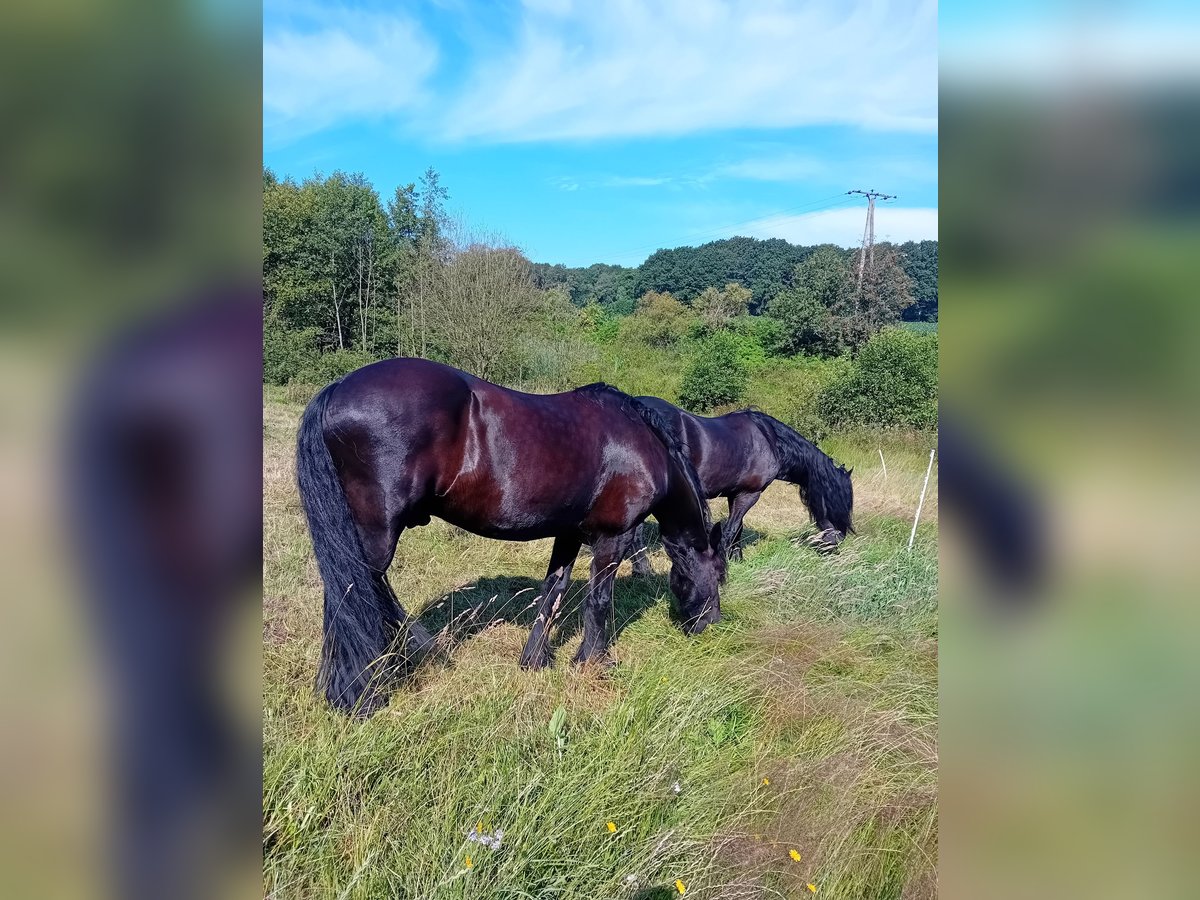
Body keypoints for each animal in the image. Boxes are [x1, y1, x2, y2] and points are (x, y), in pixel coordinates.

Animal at [295, 360, 724, 720]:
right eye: (719, 574)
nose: (711, 625)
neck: (642, 444)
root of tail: (338, 388)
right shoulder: (613, 537)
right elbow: (600, 600)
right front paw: (592, 661)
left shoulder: (568, 534)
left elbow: (553, 591)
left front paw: (535, 661)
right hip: (376, 533)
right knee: (354, 591)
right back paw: (364, 692)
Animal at [628, 398, 854, 573]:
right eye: (840, 502)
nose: (839, 542)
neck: (770, 439)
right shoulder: (750, 494)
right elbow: (731, 529)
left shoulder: (736, 494)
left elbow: (738, 528)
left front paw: (737, 558)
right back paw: (643, 570)